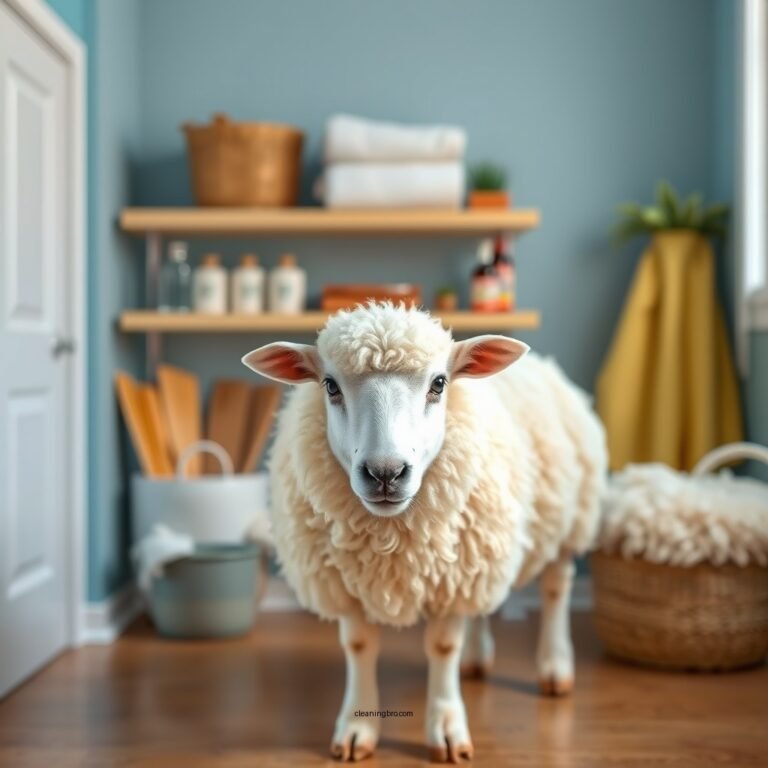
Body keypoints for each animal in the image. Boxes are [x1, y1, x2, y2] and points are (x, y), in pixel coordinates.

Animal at [242, 302, 607, 763]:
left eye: (439, 383)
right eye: (330, 386)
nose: (385, 473)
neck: (390, 539)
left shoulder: (451, 581)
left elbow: (443, 649)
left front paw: (447, 730)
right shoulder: (350, 583)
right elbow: (359, 647)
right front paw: (357, 728)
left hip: (569, 515)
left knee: (557, 587)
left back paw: (555, 668)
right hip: (483, 548)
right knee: (483, 607)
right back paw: (477, 659)